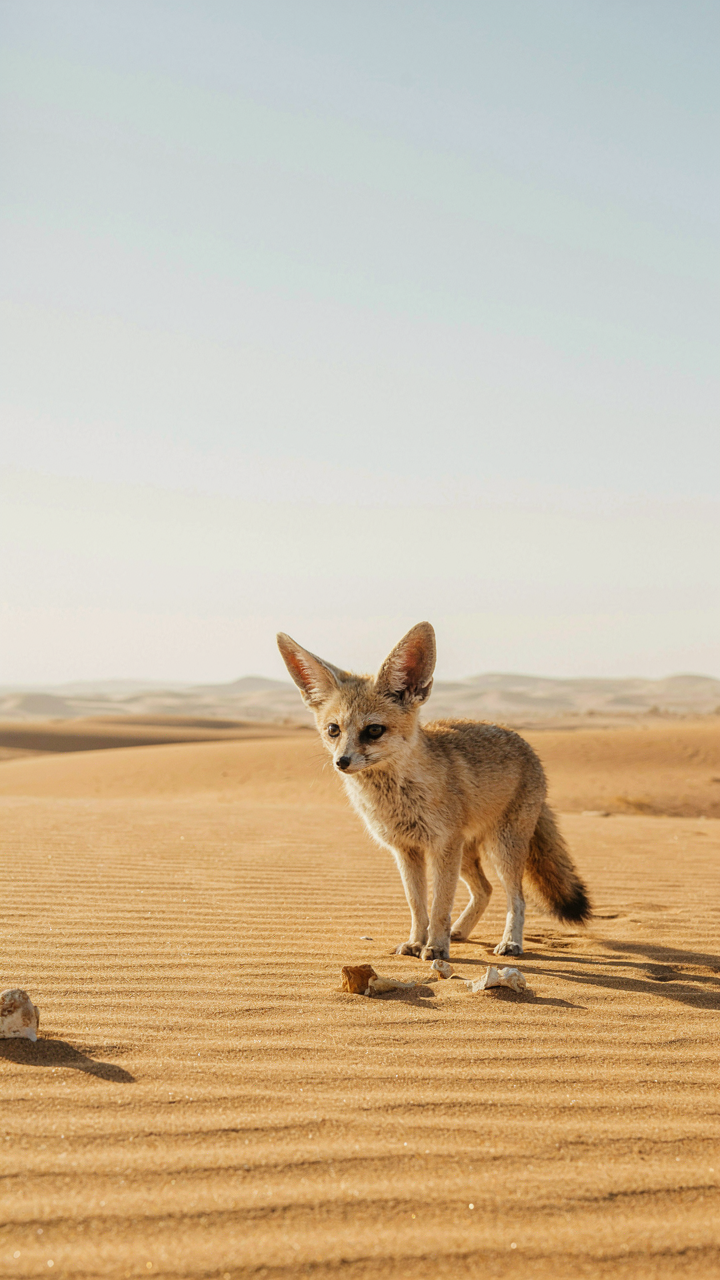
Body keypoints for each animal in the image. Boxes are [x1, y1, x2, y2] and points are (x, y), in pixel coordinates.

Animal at [277, 622, 591, 960]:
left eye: (373, 730)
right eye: (333, 730)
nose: (341, 762)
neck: (398, 799)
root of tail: (526, 745)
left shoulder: (441, 846)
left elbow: (440, 906)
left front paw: (437, 947)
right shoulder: (406, 850)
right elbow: (418, 905)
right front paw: (417, 942)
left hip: (500, 850)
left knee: (515, 898)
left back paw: (510, 942)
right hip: (466, 855)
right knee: (485, 890)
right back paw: (461, 932)